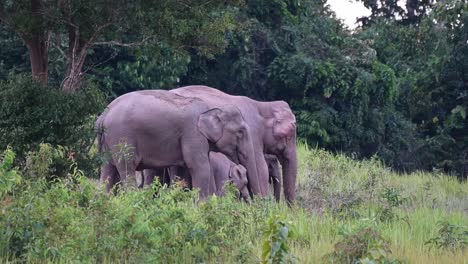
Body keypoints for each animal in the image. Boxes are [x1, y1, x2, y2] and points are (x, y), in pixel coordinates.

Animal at [94, 89, 260, 199]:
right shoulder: (193, 134)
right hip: (121, 138)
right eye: (240, 132)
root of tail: (103, 115)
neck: (211, 108)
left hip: (108, 143)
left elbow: (183, 173)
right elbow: (200, 168)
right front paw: (201, 208)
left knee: (107, 171)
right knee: (127, 168)